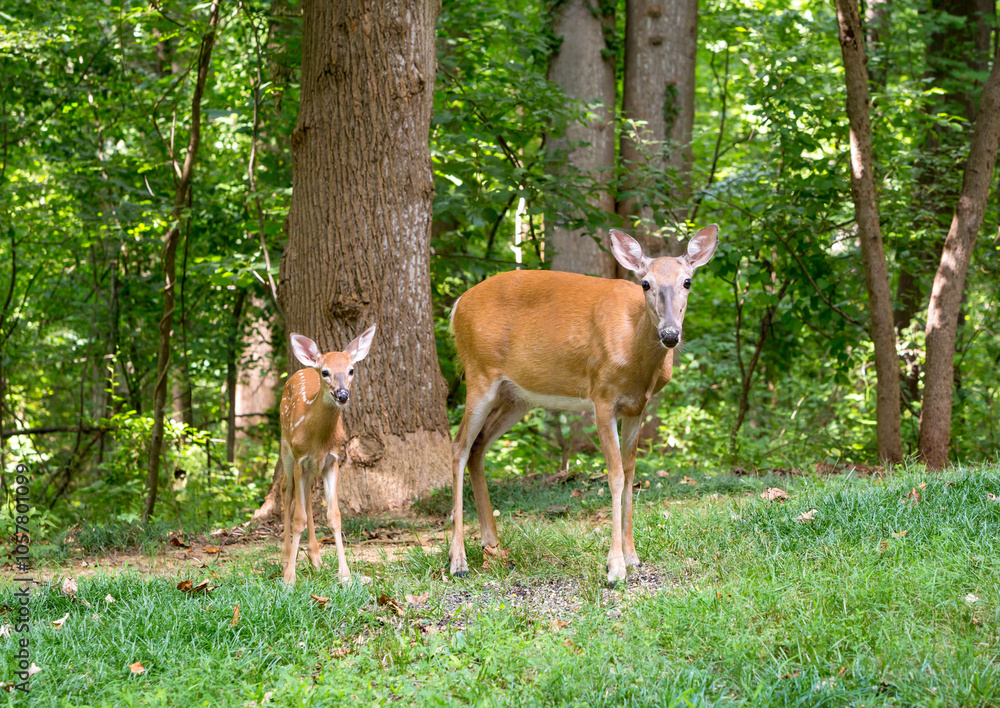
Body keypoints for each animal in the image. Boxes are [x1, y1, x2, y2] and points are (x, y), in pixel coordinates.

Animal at [278, 325, 376, 585]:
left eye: (351, 370)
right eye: (325, 372)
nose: (342, 394)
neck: (318, 440)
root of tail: (303, 368)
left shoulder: (333, 460)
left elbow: (334, 516)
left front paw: (345, 574)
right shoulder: (300, 458)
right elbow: (298, 519)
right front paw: (289, 578)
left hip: (314, 467)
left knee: (308, 496)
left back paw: (315, 557)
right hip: (286, 447)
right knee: (287, 490)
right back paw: (285, 558)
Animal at [448, 225, 719, 585]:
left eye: (687, 281)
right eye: (645, 283)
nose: (670, 334)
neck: (636, 355)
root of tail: (457, 306)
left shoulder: (637, 407)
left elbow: (631, 474)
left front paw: (633, 557)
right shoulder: (602, 396)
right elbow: (615, 475)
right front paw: (615, 567)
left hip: (515, 396)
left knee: (477, 447)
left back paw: (492, 547)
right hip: (479, 375)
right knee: (458, 447)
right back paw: (458, 561)